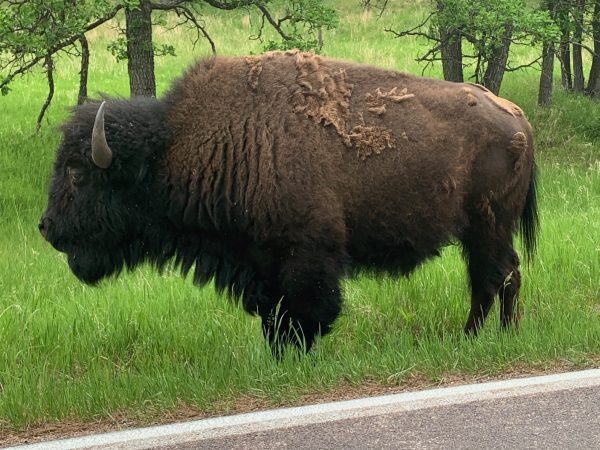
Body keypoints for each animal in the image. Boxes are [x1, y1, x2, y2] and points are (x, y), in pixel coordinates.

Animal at [38, 51, 540, 354]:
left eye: (77, 172)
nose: (46, 227)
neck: (180, 146)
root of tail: (518, 118)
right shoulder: (260, 266)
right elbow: (272, 315)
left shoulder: (306, 255)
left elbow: (304, 311)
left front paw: (297, 354)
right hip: (479, 231)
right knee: (494, 276)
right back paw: (484, 338)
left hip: (489, 226)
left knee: (496, 276)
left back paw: (480, 338)